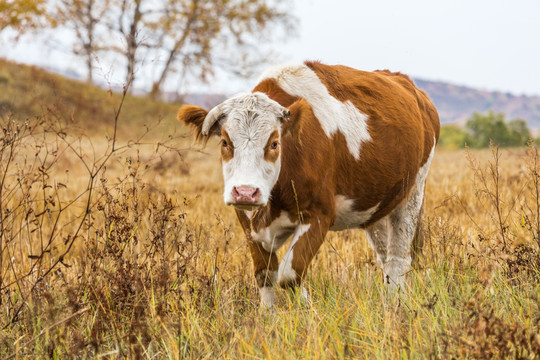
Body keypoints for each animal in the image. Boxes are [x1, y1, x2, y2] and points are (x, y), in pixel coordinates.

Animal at [177, 61, 438, 306]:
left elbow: (290, 275)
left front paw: (307, 308)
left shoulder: (319, 215)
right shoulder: (247, 222)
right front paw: (269, 317)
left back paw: (397, 304)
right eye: (224, 142)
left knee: (398, 258)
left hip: (413, 193)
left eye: (274, 143)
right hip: (375, 207)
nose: (245, 192)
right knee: (384, 256)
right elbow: (265, 275)